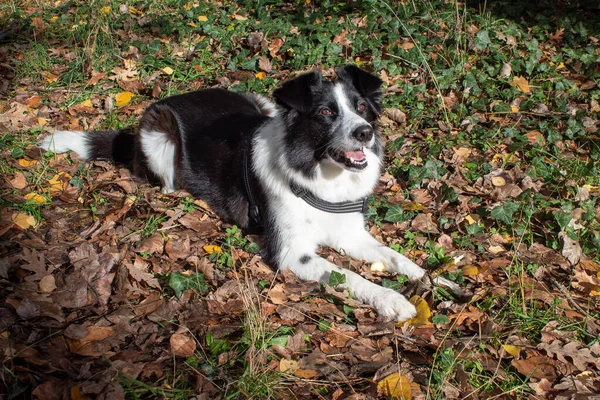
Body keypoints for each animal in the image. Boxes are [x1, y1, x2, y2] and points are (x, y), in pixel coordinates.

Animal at [39, 66, 424, 322]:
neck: (319, 173)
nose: (365, 132)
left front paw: (425, 276)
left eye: (362, 108)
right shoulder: (291, 254)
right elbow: (350, 275)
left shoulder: (349, 233)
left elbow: (391, 255)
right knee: (165, 181)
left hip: (259, 102)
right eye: (327, 112)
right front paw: (391, 299)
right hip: (158, 135)